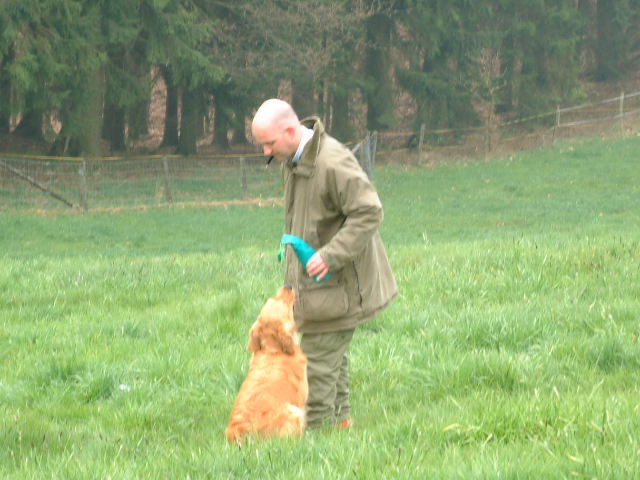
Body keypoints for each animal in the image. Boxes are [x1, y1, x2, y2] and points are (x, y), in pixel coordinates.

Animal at [225, 285, 308, 444]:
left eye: (272, 298)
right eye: (284, 303)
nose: (288, 286)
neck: (273, 351)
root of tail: (242, 431)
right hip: (292, 411)